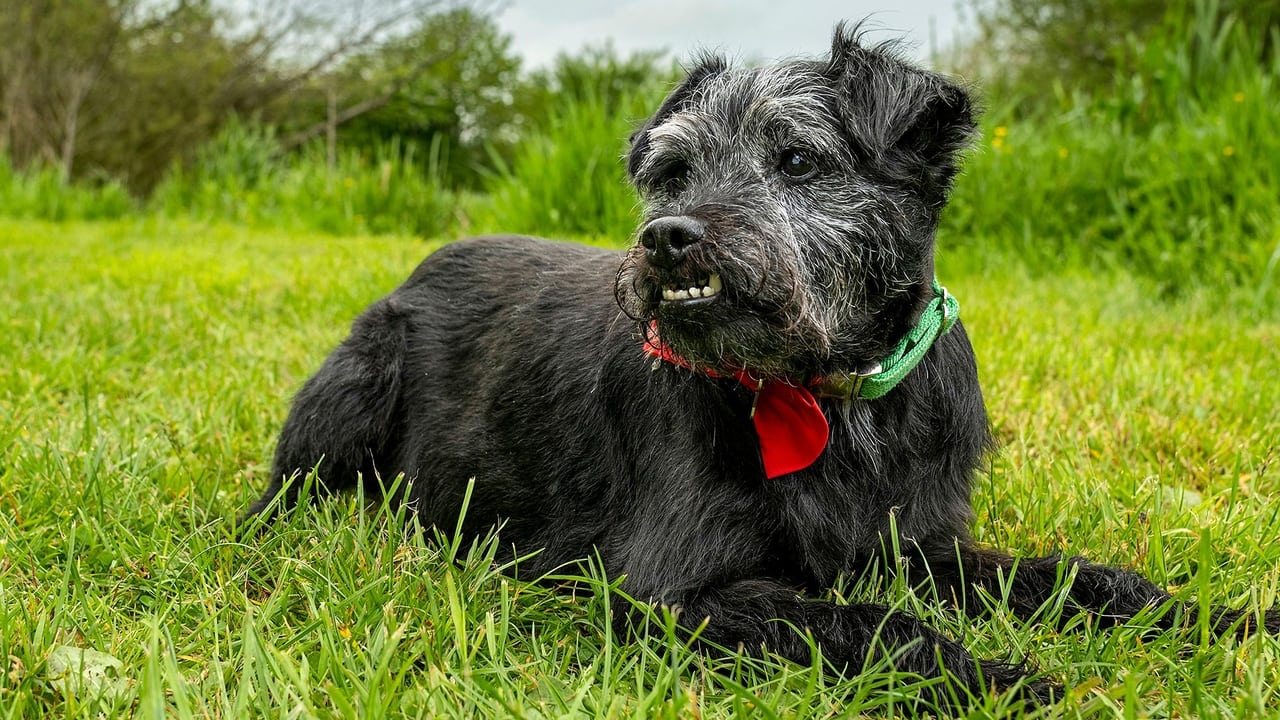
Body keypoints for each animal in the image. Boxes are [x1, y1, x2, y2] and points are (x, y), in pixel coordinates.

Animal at [241, 25, 1280, 707]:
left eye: (798, 161)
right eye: (671, 172)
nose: (668, 237)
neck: (830, 394)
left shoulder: (919, 546)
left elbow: (1086, 580)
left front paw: (1223, 624)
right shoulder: (670, 594)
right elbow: (868, 623)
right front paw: (1000, 676)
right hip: (354, 386)